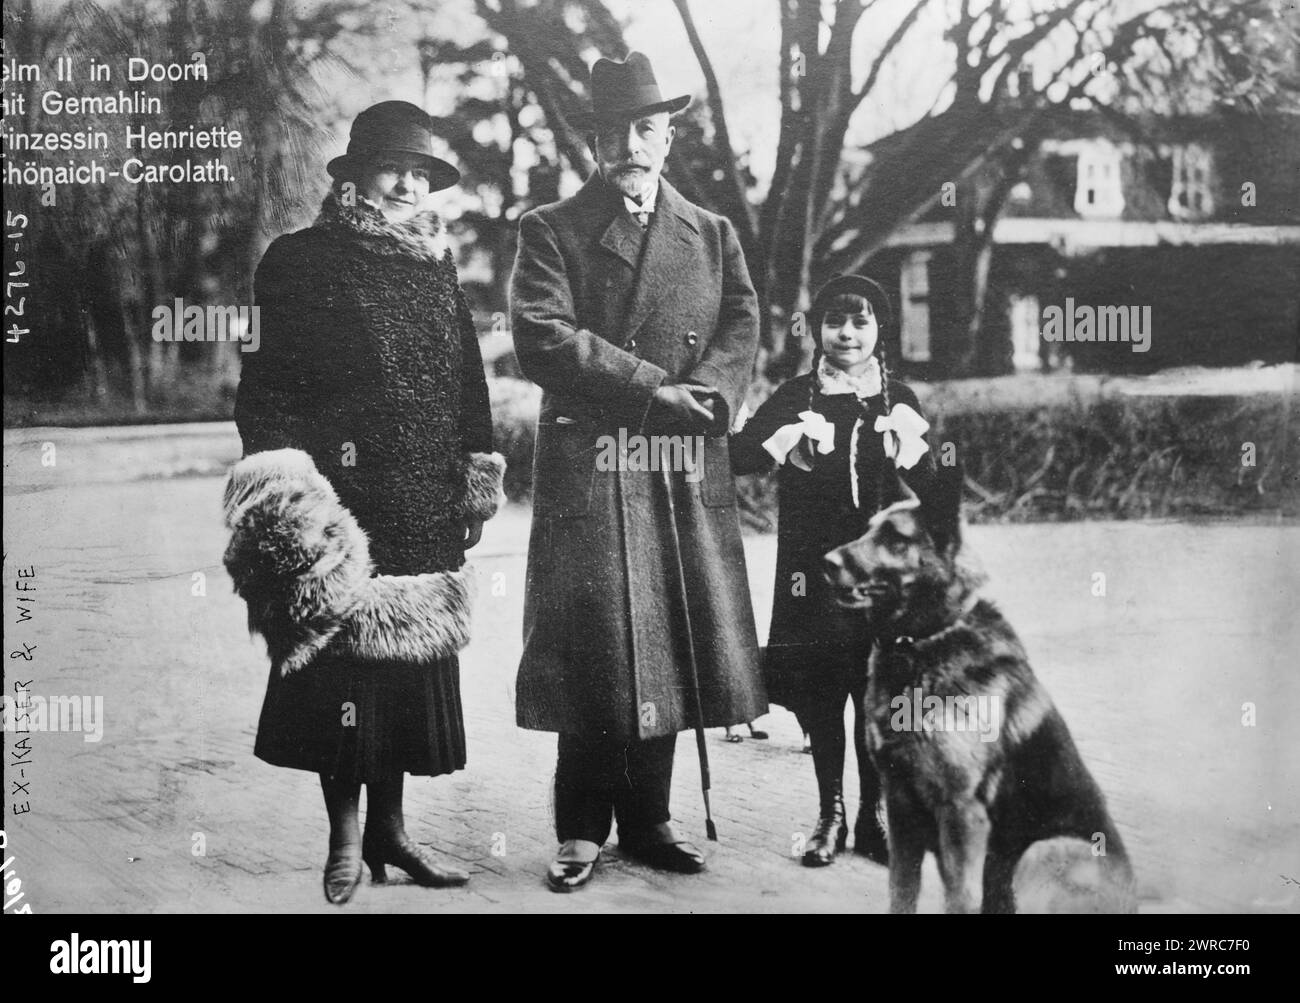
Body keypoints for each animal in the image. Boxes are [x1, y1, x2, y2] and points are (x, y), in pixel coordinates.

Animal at [821, 470, 1138, 914]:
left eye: (895, 538)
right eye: (867, 530)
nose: (826, 563)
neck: (924, 639)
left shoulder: (961, 816)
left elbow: (959, 900)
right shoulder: (901, 809)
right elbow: (901, 893)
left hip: (1038, 853)